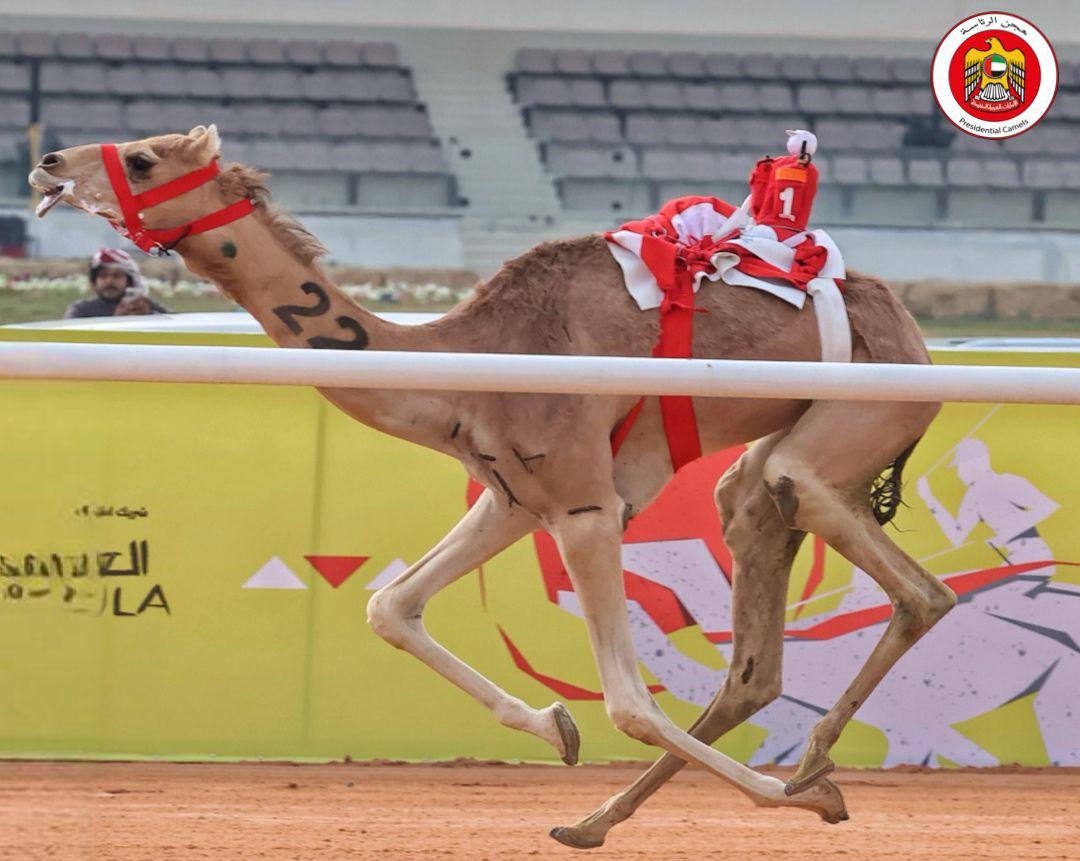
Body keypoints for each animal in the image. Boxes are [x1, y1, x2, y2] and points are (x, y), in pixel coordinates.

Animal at [27, 127, 954, 846]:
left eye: (142, 157)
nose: (45, 163)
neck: (468, 362)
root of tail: (914, 333)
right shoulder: (515, 498)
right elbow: (389, 607)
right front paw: (553, 723)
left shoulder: (585, 506)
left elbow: (629, 702)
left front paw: (804, 795)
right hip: (767, 471)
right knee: (756, 612)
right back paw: (606, 816)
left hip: (859, 419)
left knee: (919, 589)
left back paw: (812, 764)